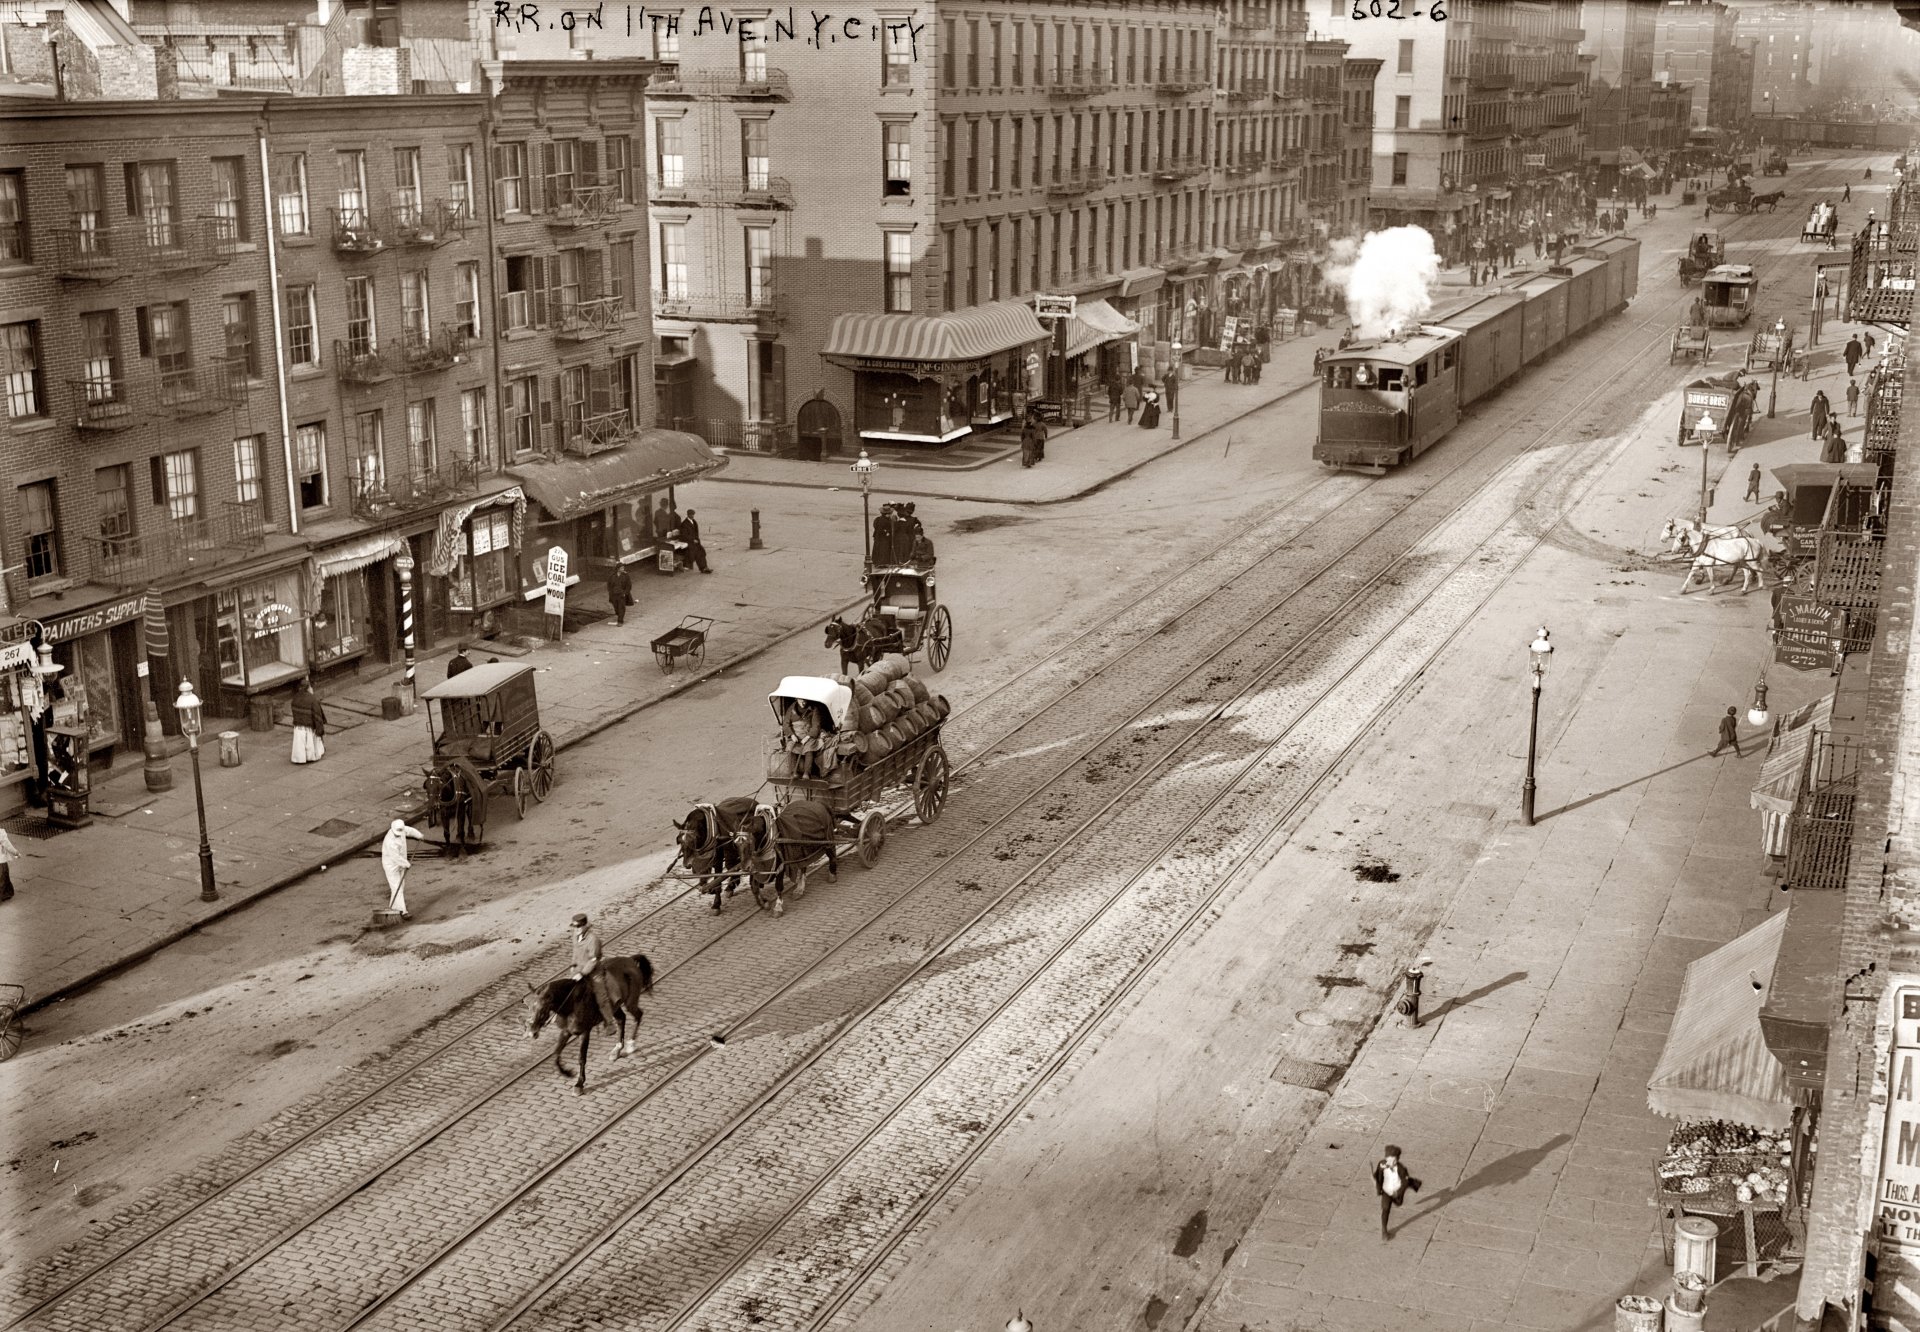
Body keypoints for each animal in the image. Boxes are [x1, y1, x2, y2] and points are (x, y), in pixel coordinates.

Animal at [529, 959, 656, 1097]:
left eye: (542, 1010)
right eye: (530, 1008)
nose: (532, 1032)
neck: (572, 1003)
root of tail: (631, 959)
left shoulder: (585, 1032)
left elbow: (581, 1057)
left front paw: (579, 1084)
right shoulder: (566, 1031)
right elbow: (556, 1054)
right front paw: (568, 1073)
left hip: (630, 1002)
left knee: (638, 1015)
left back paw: (631, 1044)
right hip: (615, 1007)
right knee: (622, 1019)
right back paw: (616, 1050)